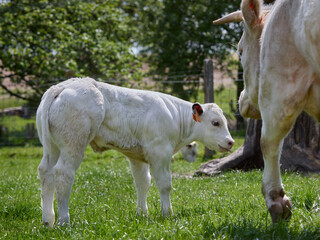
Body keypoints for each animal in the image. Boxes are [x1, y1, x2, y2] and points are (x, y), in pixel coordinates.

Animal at [36, 77, 234, 227]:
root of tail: (63, 86)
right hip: (73, 145)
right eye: (216, 122)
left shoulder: (137, 157)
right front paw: (167, 213)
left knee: (46, 173)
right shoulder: (160, 152)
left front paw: (142, 214)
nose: (230, 141)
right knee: (63, 174)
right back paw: (64, 221)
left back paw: (48, 220)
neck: (174, 116)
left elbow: (143, 183)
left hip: (52, 147)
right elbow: (165, 184)